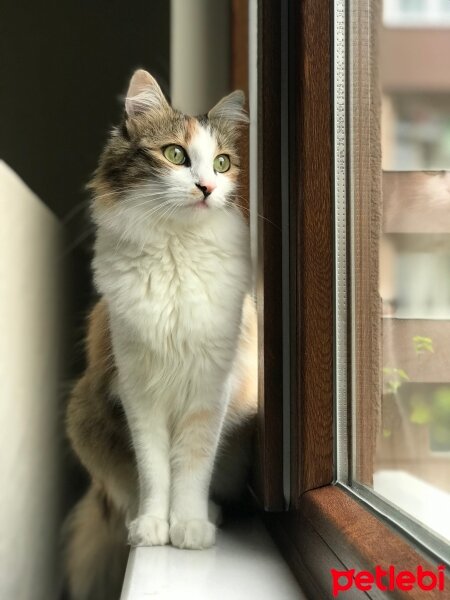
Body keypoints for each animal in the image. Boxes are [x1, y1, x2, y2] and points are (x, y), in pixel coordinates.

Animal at [65, 70, 258, 600]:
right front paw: (156, 526)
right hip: (85, 416)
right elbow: (154, 471)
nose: (207, 187)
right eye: (175, 154)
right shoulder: (138, 391)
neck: (175, 250)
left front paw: (188, 527)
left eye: (222, 162)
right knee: (125, 490)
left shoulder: (209, 392)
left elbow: (191, 467)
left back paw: (208, 516)